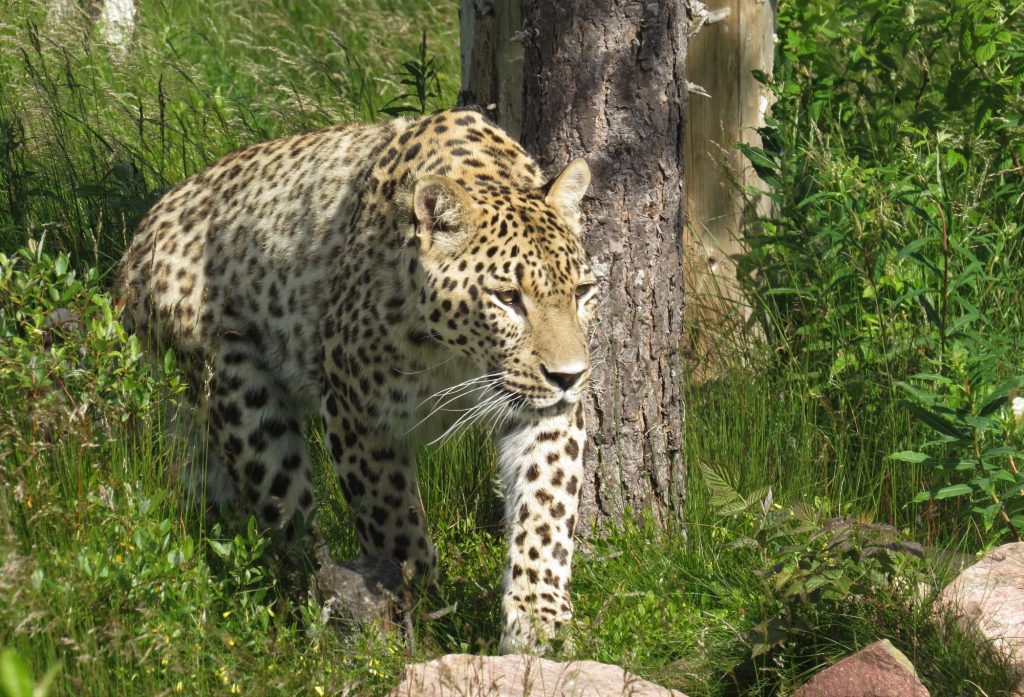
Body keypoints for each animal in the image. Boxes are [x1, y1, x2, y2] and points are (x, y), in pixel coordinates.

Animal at [117, 107, 597, 653]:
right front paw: (414, 599)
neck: (456, 358)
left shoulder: (546, 412)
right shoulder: (358, 416)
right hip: (240, 395)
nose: (569, 375)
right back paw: (320, 598)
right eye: (508, 298)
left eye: (582, 292)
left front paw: (540, 623)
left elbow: (546, 508)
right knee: (285, 529)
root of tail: (138, 241)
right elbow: (392, 522)